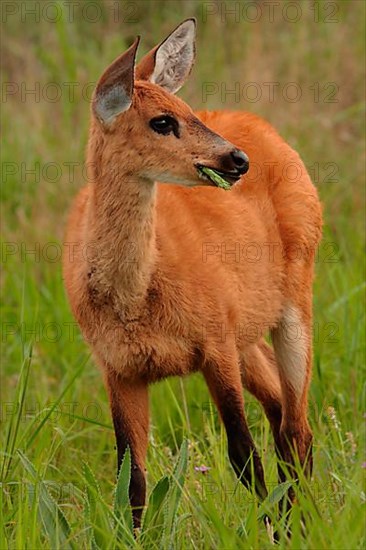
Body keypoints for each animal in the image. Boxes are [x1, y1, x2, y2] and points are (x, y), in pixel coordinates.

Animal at [63, 19, 320, 532]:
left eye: (185, 110)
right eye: (163, 121)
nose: (237, 160)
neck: (135, 298)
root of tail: (262, 126)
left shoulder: (214, 343)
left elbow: (243, 453)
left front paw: (263, 532)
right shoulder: (118, 369)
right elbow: (131, 480)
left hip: (294, 302)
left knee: (297, 427)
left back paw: (303, 525)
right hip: (247, 334)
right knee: (280, 411)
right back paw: (293, 519)